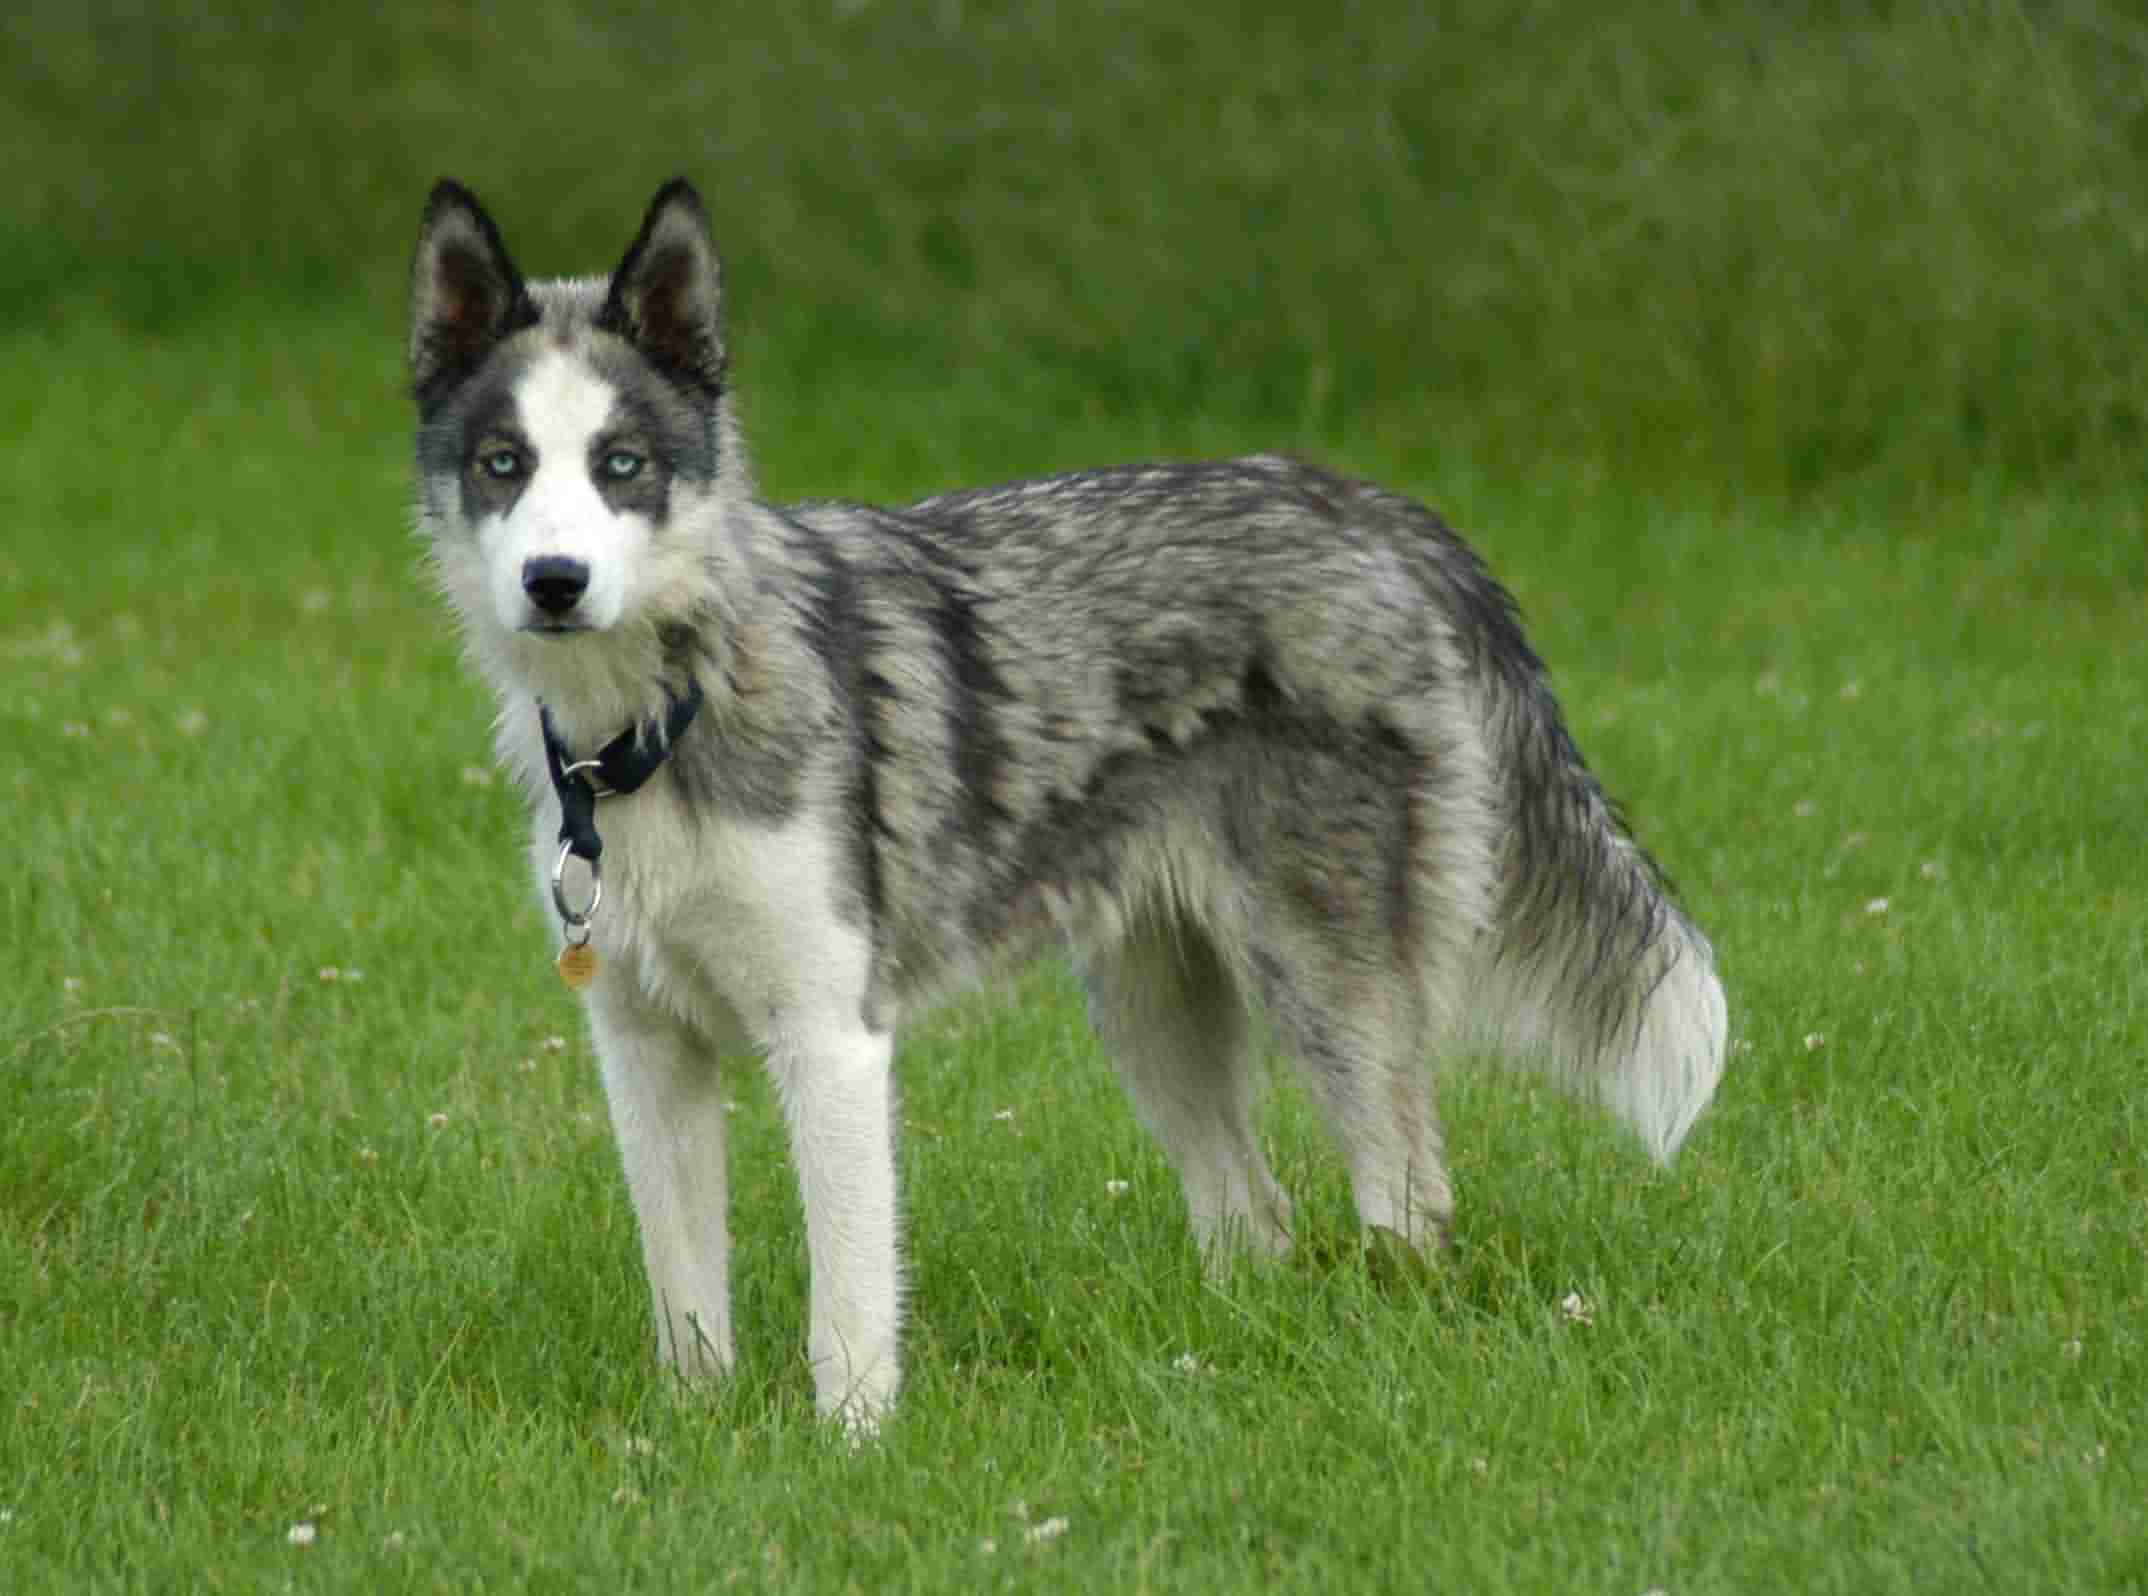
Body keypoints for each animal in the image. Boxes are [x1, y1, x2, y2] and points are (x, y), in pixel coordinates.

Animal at [403, 181, 1726, 1426]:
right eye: (503, 465)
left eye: (621, 465)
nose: (555, 581)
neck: (661, 719)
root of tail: (1370, 511)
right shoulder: (645, 1050)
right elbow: (686, 1299)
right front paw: (694, 1435)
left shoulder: (831, 1044)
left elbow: (848, 1310)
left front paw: (851, 1451)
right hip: (1151, 1009)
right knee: (1258, 1217)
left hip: (1327, 993)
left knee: (1409, 1203)